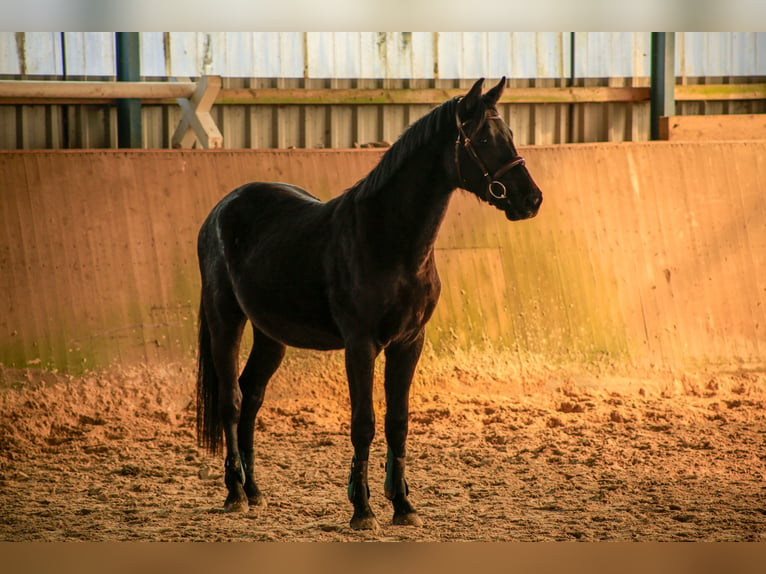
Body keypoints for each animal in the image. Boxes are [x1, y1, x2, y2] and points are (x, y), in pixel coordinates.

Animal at [198, 79, 544, 532]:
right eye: (484, 139)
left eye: (510, 135)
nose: (531, 199)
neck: (388, 240)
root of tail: (221, 210)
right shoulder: (360, 345)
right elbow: (363, 423)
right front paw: (362, 510)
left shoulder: (409, 343)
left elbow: (398, 422)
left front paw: (403, 505)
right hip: (225, 320)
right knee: (231, 401)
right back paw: (235, 494)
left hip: (270, 334)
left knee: (251, 394)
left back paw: (255, 492)